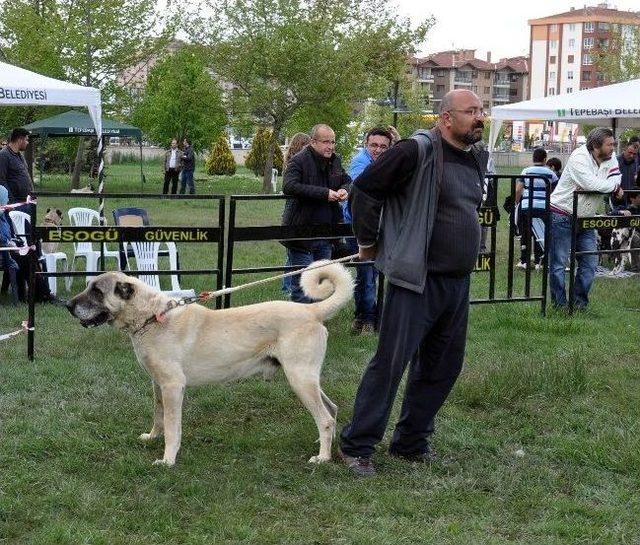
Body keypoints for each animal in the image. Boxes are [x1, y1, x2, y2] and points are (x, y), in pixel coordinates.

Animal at [67, 262, 352, 466]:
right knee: (331, 409)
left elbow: (172, 427)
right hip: (306, 379)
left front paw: (167, 460)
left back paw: (323, 457)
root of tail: (311, 310)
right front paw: (152, 437)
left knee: (325, 417)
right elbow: (159, 416)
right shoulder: (157, 385)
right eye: (89, 286)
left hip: (299, 378)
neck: (150, 317)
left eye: (97, 292)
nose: (67, 305)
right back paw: (323, 442)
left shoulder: (173, 387)